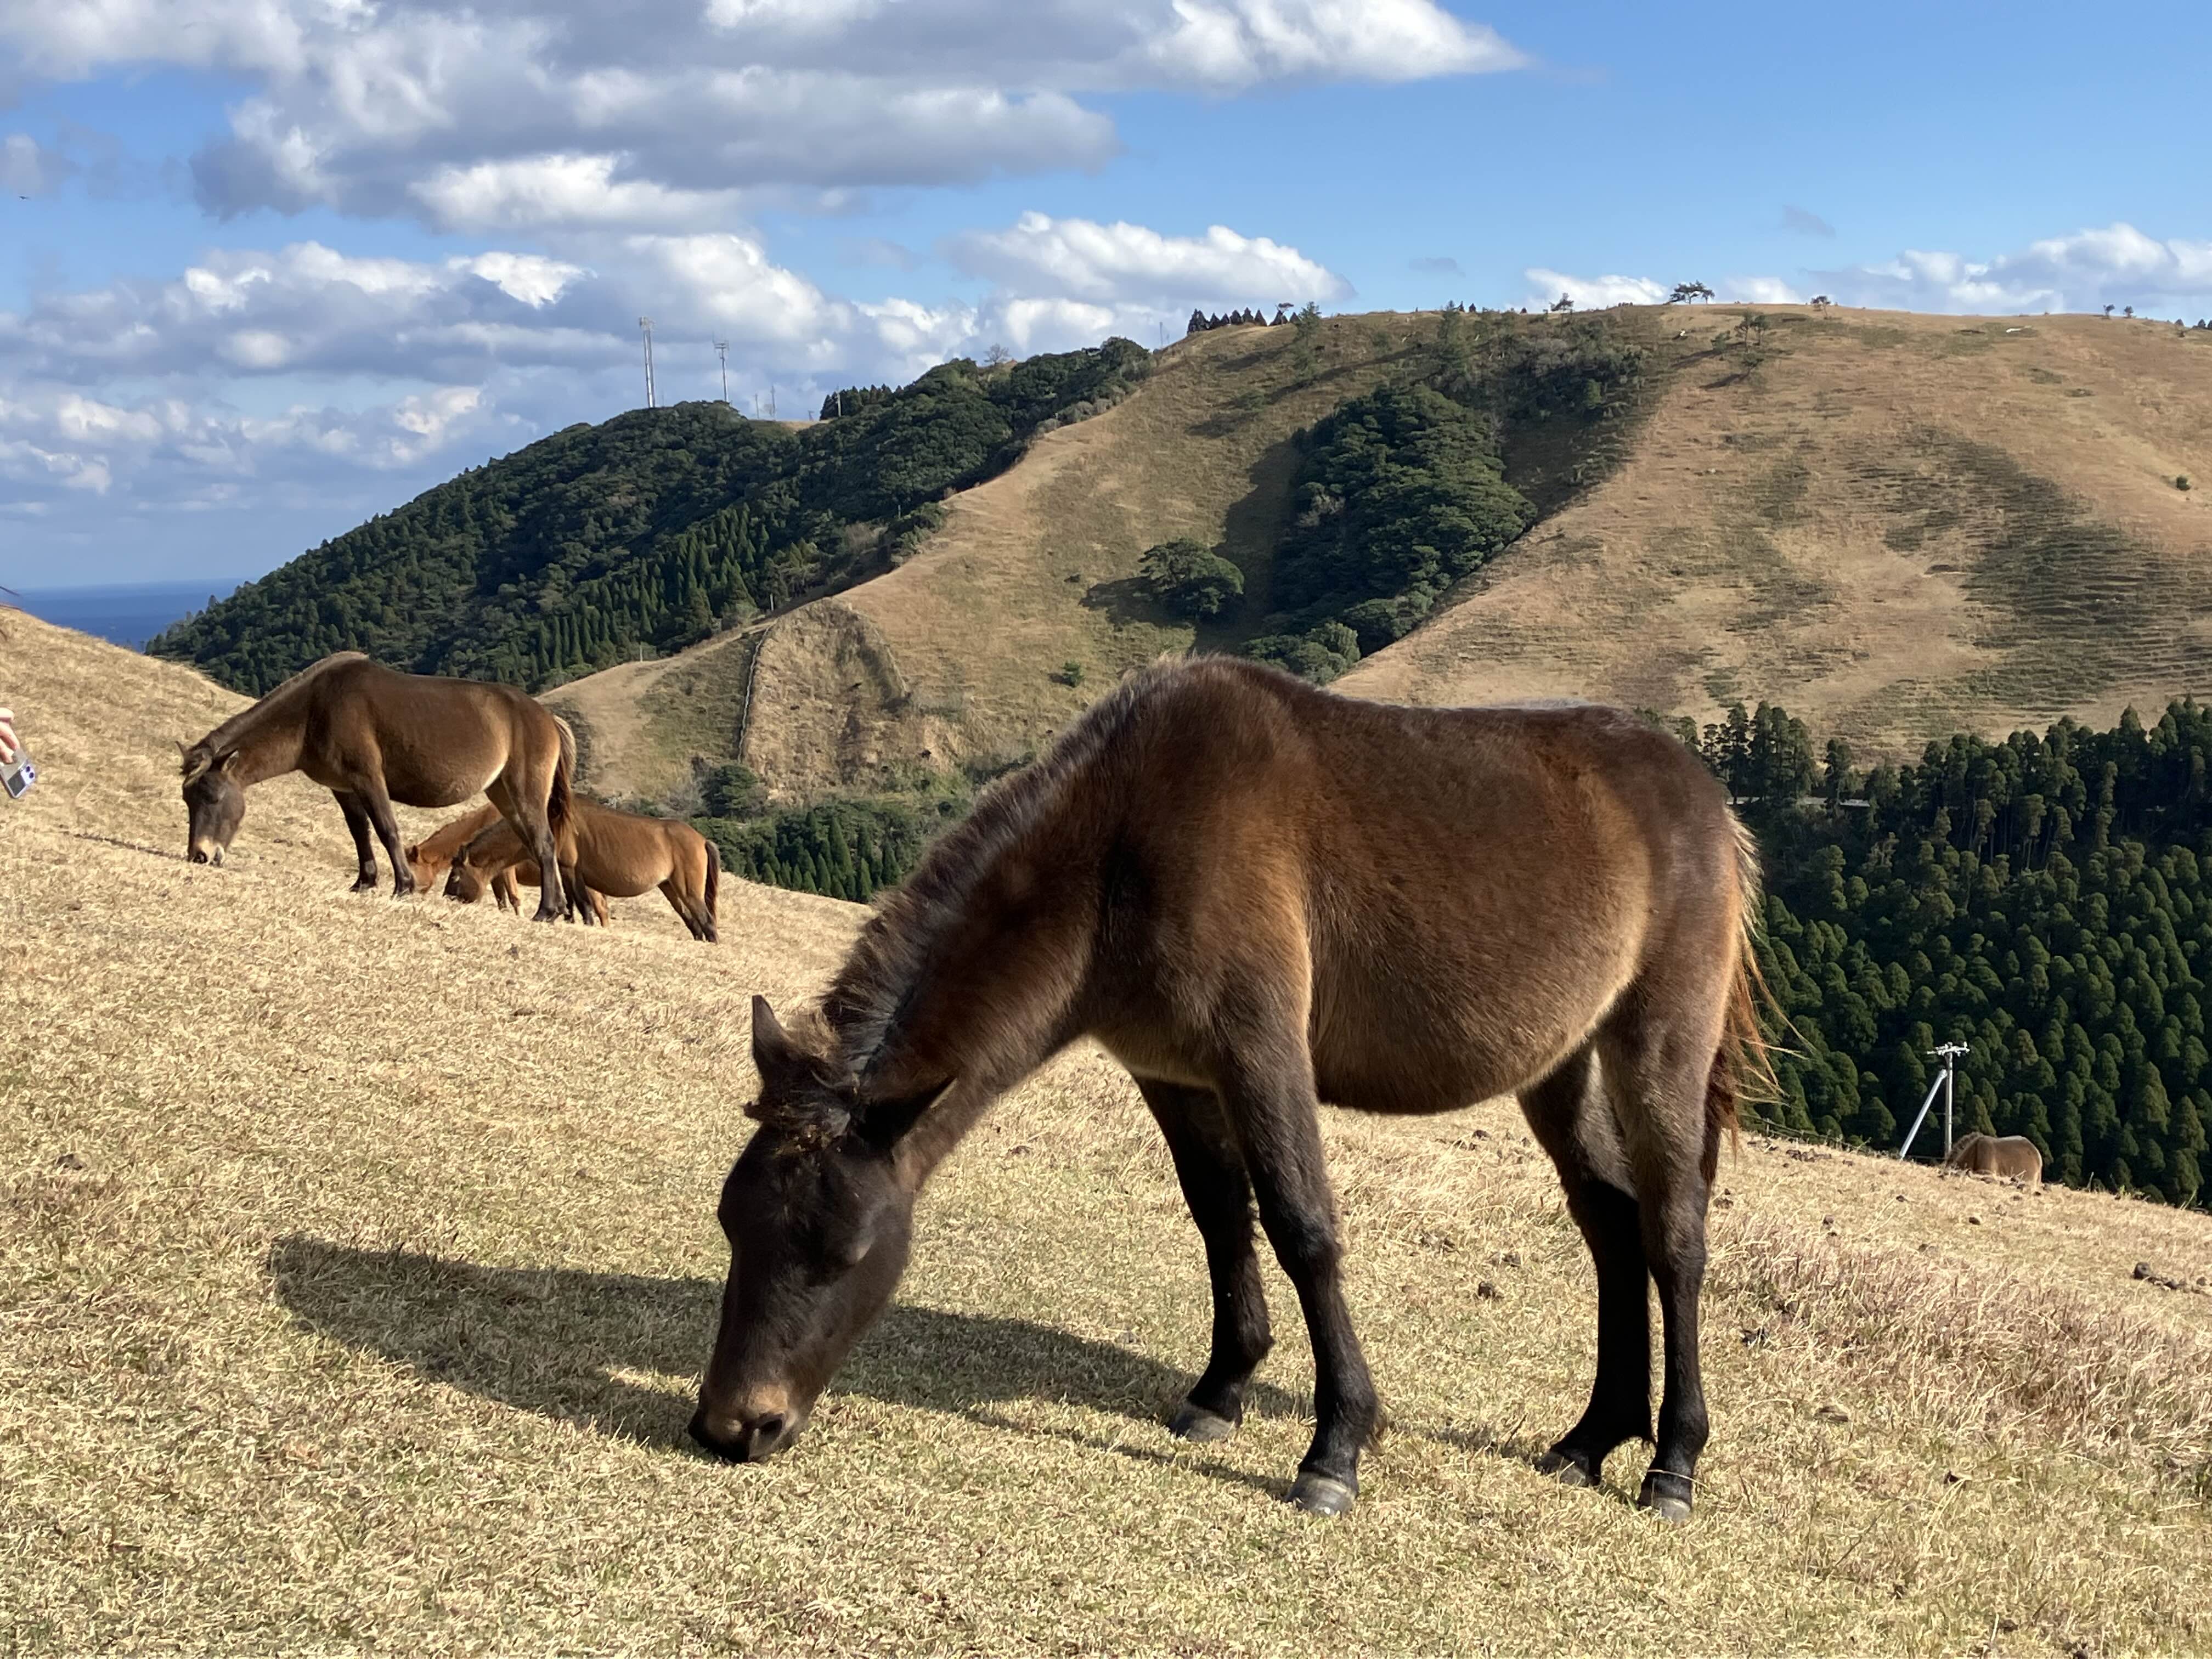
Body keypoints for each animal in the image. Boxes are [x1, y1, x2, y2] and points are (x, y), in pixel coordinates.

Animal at [179, 653, 576, 922]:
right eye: (187, 800)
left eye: (213, 797)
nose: (200, 855)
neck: (315, 710)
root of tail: (546, 717)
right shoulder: (343, 787)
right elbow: (360, 833)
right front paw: (364, 883)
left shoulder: (368, 778)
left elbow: (387, 829)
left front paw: (403, 886)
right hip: (503, 794)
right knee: (533, 842)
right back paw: (555, 907)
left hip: (525, 791)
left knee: (544, 843)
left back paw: (547, 910)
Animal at [446, 797, 720, 942]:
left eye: (456, 876)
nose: (447, 897)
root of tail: (702, 840)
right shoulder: (571, 872)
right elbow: (578, 904)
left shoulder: (569, 868)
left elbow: (581, 904)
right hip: (671, 888)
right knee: (694, 924)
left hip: (688, 890)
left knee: (708, 922)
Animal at [691, 657, 1769, 1521]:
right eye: (733, 1224)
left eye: (844, 1252)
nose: (733, 1426)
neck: (1123, 842)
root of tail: (1703, 795)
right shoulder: (1173, 1072)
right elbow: (1220, 1216)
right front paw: (1221, 1389)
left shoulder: (1260, 1052)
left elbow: (1302, 1229)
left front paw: (1336, 1447)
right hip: (1559, 1065)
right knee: (1611, 1222)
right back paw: (1591, 1438)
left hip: (1656, 1045)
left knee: (1673, 1237)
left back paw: (1672, 1461)